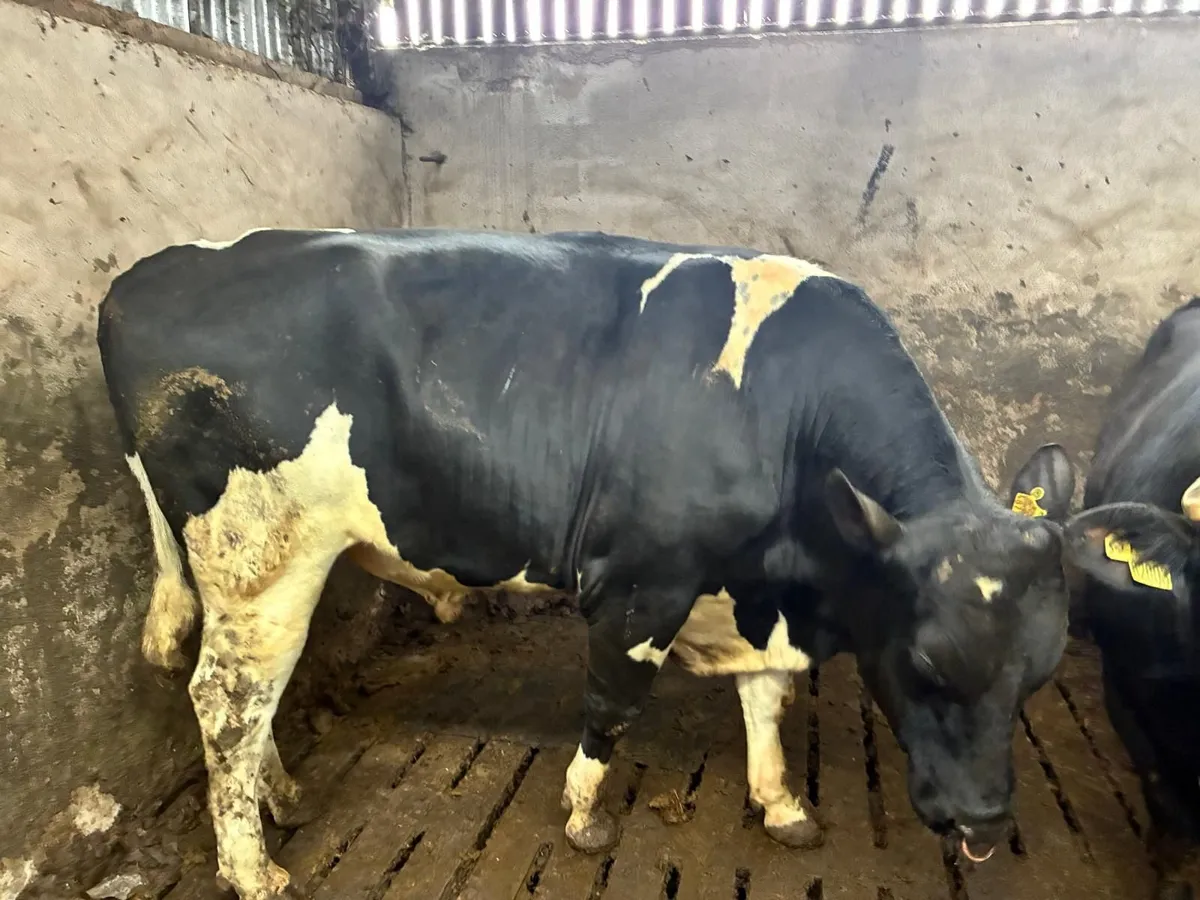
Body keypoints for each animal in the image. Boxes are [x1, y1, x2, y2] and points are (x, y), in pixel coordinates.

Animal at [97, 228, 1076, 900]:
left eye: (1038, 673)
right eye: (924, 663)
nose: (985, 822)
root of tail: (152, 271)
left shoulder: (749, 589)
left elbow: (765, 696)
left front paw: (781, 801)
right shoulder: (646, 576)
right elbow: (615, 699)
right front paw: (583, 810)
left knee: (242, 700)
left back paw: (283, 797)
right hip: (262, 554)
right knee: (227, 699)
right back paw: (252, 868)